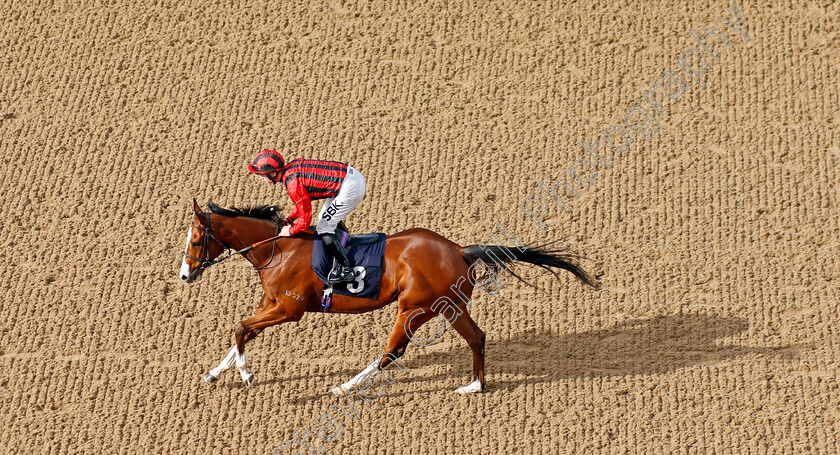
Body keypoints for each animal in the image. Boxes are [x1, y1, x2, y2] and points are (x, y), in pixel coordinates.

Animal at [179, 200, 596, 396]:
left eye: (196, 241)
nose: (185, 275)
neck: (277, 247)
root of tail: (459, 249)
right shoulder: (272, 304)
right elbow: (244, 332)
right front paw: (215, 372)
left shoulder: (289, 308)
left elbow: (240, 328)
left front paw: (246, 375)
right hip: (449, 306)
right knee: (477, 337)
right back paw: (474, 386)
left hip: (414, 307)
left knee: (392, 352)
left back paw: (344, 387)